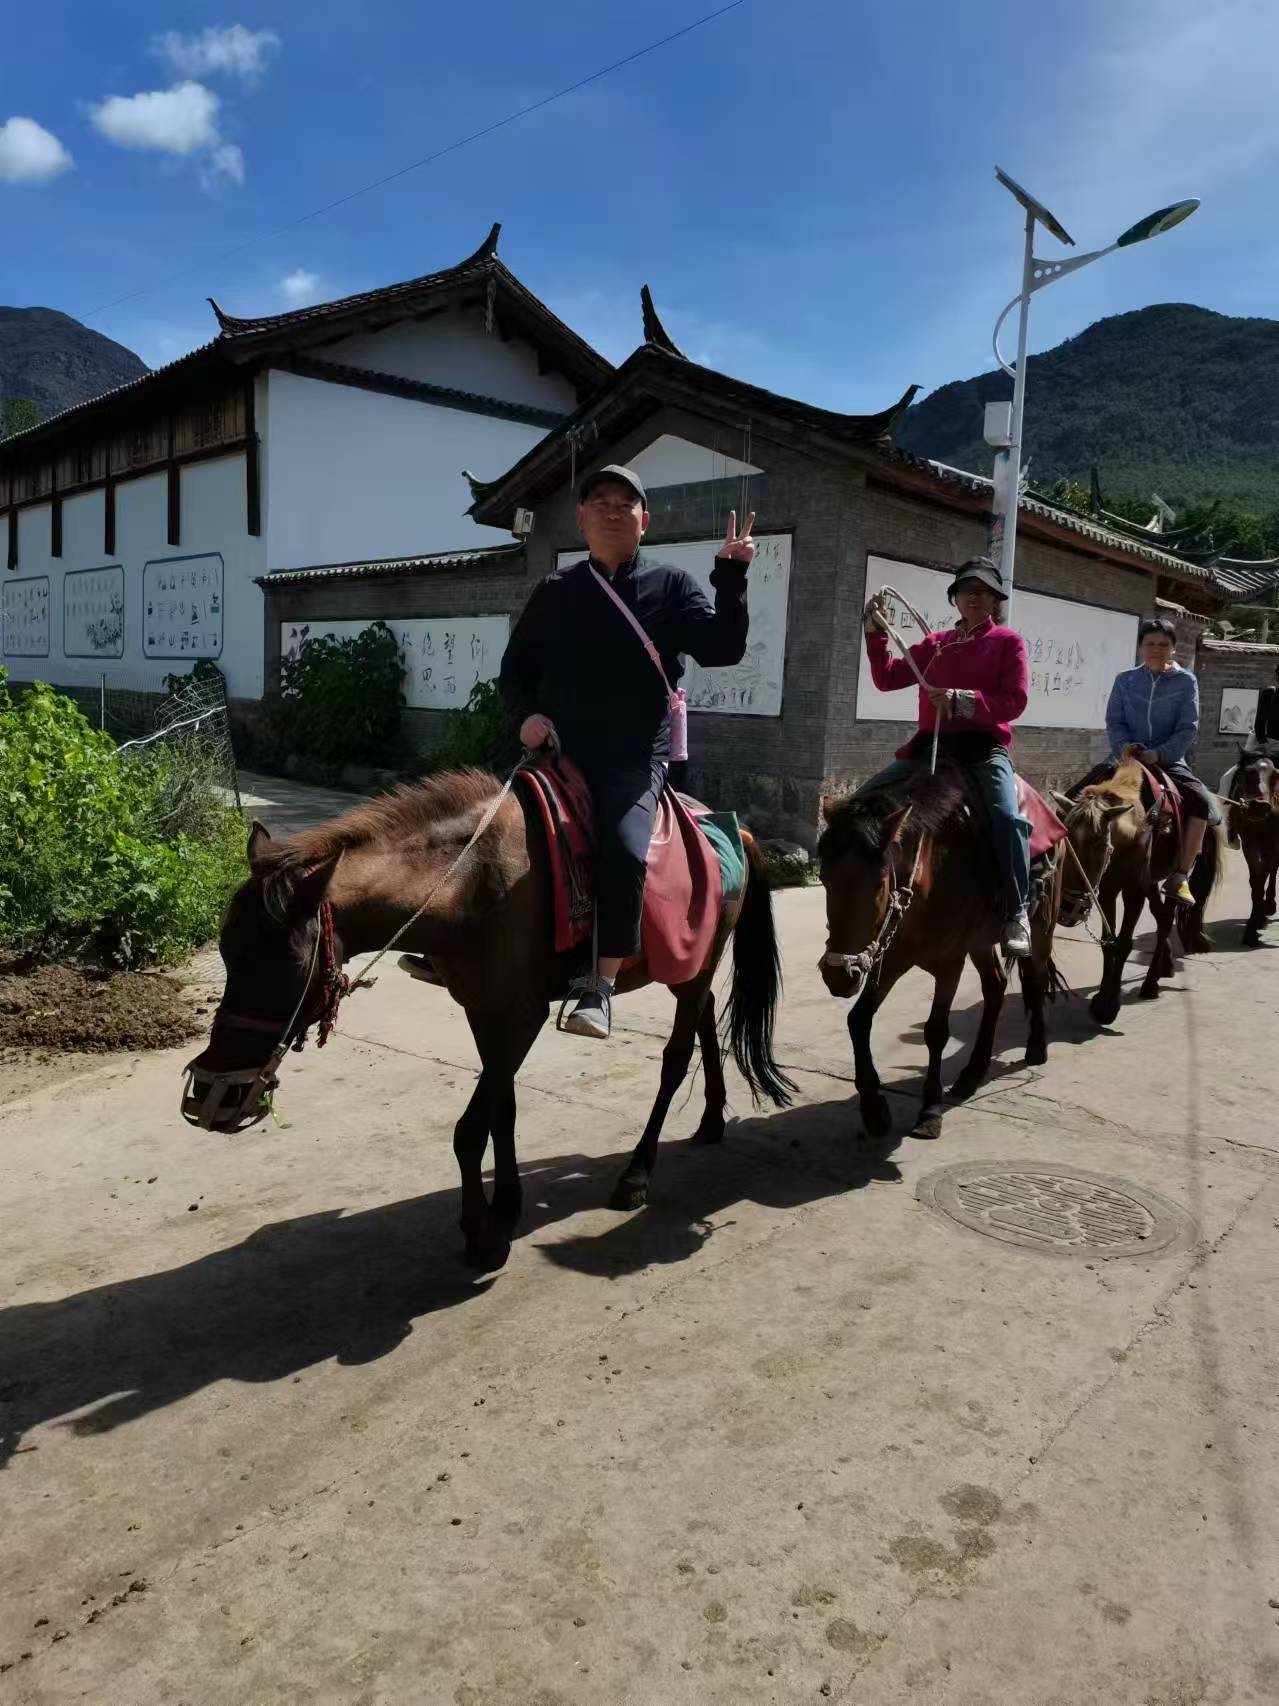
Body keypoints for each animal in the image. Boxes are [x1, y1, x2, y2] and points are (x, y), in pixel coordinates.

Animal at [182, 771, 791, 1269]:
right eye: (227, 952)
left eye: (287, 964)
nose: (213, 1096)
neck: (469, 884)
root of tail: (733, 830)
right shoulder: (485, 1010)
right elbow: (503, 1109)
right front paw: (508, 1205)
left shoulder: (521, 1016)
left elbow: (470, 1129)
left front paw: (481, 1233)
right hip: (690, 969)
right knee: (706, 1019)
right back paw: (711, 1120)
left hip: (693, 965)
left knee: (674, 1059)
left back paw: (638, 1174)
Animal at [815, 774, 1064, 1146]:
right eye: (824, 878)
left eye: (878, 885)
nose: (839, 975)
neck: (930, 876)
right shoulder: (891, 958)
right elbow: (858, 1020)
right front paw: (874, 1108)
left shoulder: (950, 963)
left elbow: (936, 1031)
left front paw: (930, 1109)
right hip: (980, 942)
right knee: (996, 986)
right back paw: (972, 1073)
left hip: (1041, 925)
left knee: (1034, 976)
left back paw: (1036, 1047)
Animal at [1057, 764, 1227, 1023]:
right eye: (1067, 838)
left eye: (1100, 845)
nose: (1068, 908)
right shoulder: (1108, 891)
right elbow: (1109, 942)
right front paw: (1102, 998)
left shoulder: (1133, 891)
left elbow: (1124, 942)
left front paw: (1108, 1005)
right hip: (1150, 882)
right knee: (1161, 915)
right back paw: (1164, 966)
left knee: (1166, 916)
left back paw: (1150, 984)